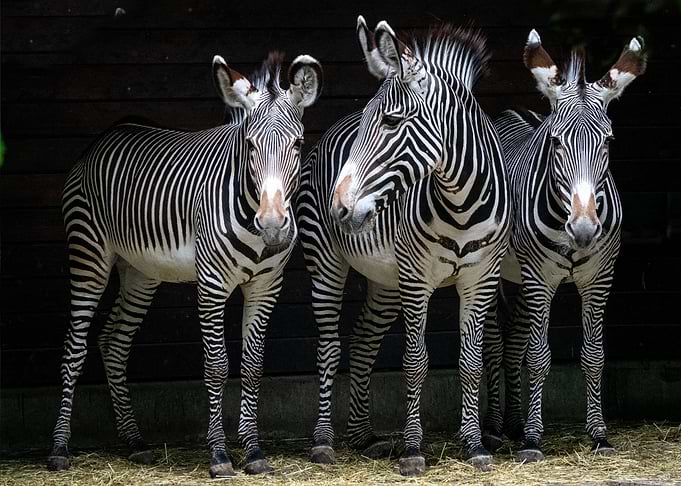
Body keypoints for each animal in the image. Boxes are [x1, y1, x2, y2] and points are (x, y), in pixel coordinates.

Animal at [47, 52, 322, 477]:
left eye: (298, 143)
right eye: (249, 145)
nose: (274, 225)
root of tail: (108, 133)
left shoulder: (266, 286)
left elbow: (253, 365)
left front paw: (254, 452)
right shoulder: (211, 284)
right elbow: (217, 365)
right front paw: (220, 455)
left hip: (140, 271)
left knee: (113, 342)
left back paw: (135, 442)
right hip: (88, 252)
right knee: (74, 348)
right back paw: (59, 449)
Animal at [297, 17, 510, 476]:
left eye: (392, 122)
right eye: (369, 121)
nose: (339, 207)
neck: (461, 202)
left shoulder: (480, 279)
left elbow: (470, 362)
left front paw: (475, 446)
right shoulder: (416, 280)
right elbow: (415, 361)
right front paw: (413, 450)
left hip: (385, 280)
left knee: (362, 341)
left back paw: (363, 437)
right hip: (327, 264)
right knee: (328, 347)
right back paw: (323, 442)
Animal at [481, 30, 646, 462]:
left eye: (608, 141)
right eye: (556, 142)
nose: (585, 229)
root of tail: (510, 114)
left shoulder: (599, 279)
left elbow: (594, 356)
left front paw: (599, 435)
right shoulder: (541, 279)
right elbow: (539, 357)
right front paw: (534, 441)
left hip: (520, 278)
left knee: (513, 341)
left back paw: (513, 423)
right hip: (494, 270)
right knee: (494, 342)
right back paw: (494, 430)